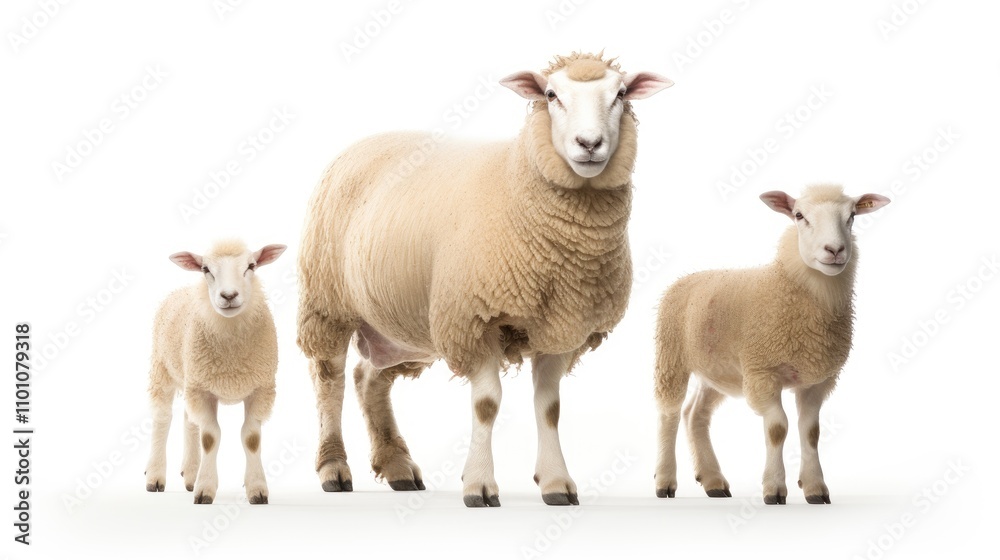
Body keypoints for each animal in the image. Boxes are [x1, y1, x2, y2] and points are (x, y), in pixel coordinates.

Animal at [144, 239, 286, 505]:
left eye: (251, 266)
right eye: (205, 269)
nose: (229, 296)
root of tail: (180, 289)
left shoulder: (260, 389)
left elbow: (251, 438)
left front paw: (256, 488)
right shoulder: (203, 391)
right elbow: (210, 438)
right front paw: (205, 489)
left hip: (192, 378)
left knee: (189, 420)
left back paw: (191, 474)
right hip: (163, 369)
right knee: (162, 418)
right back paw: (155, 476)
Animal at [297, 52, 672, 507]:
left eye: (620, 94)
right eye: (551, 95)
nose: (589, 143)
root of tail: (363, 142)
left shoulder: (560, 327)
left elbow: (550, 408)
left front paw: (556, 482)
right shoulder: (473, 320)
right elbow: (487, 405)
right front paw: (479, 485)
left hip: (406, 324)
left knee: (367, 378)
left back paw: (397, 465)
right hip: (327, 301)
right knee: (329, 379)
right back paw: (334, 468)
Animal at [653, 185, 890, 504]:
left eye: (852, 215)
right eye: (799, 215)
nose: (835, 250)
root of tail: (687, 277)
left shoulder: (818, 380)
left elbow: (811, 431)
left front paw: (815, 488)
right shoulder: (762, 372)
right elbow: (778, 427)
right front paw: (774, 488)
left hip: (720, 371)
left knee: (695, 415)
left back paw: (713, 481)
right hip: (671, 356)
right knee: (670, 414)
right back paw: (665, 481)